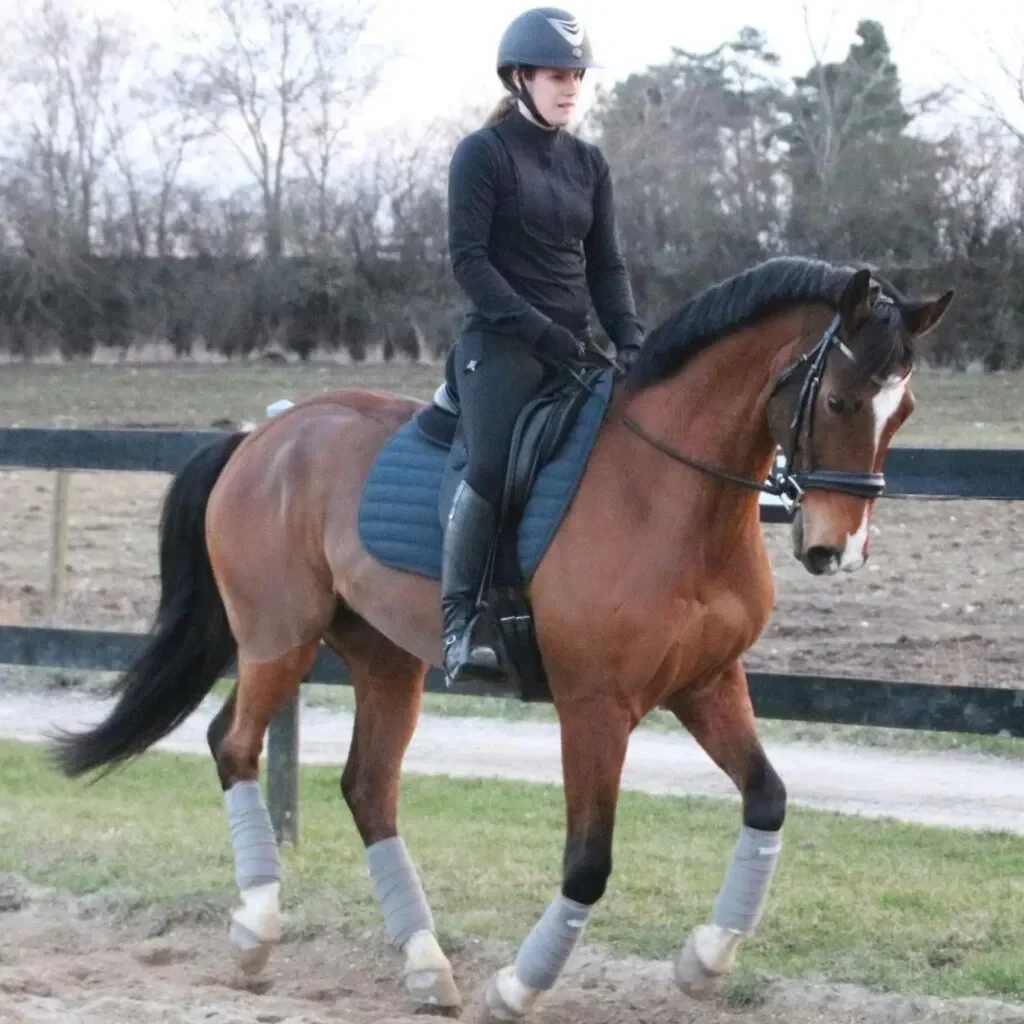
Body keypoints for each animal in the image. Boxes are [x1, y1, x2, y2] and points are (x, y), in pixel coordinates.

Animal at [50, 257, 953, 1021]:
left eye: (903, 410)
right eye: (838, 401)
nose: (836, 549)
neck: (673, 496)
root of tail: (264, 436)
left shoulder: (708, 683)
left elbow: (768, 798)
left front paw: (704, 961)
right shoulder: (595, 707)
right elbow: (588, 860)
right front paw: (519, 986)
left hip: (383, 656)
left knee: (367, 787)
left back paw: (424, 966)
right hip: (280, 636)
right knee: (234, 746)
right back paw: (256, 934)